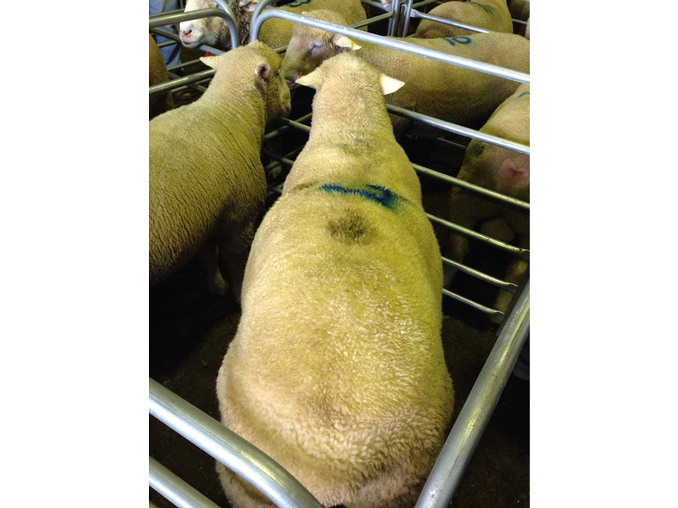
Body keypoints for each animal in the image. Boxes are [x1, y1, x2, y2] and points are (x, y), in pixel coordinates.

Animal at [149, 41, 291, 298]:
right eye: (277, 73)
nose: (290, 102)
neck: (230, 110)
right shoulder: (240, 222)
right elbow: (237, 263)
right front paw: (236, 292)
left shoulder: (206, 216)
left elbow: (208, 254)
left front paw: (216, 285)